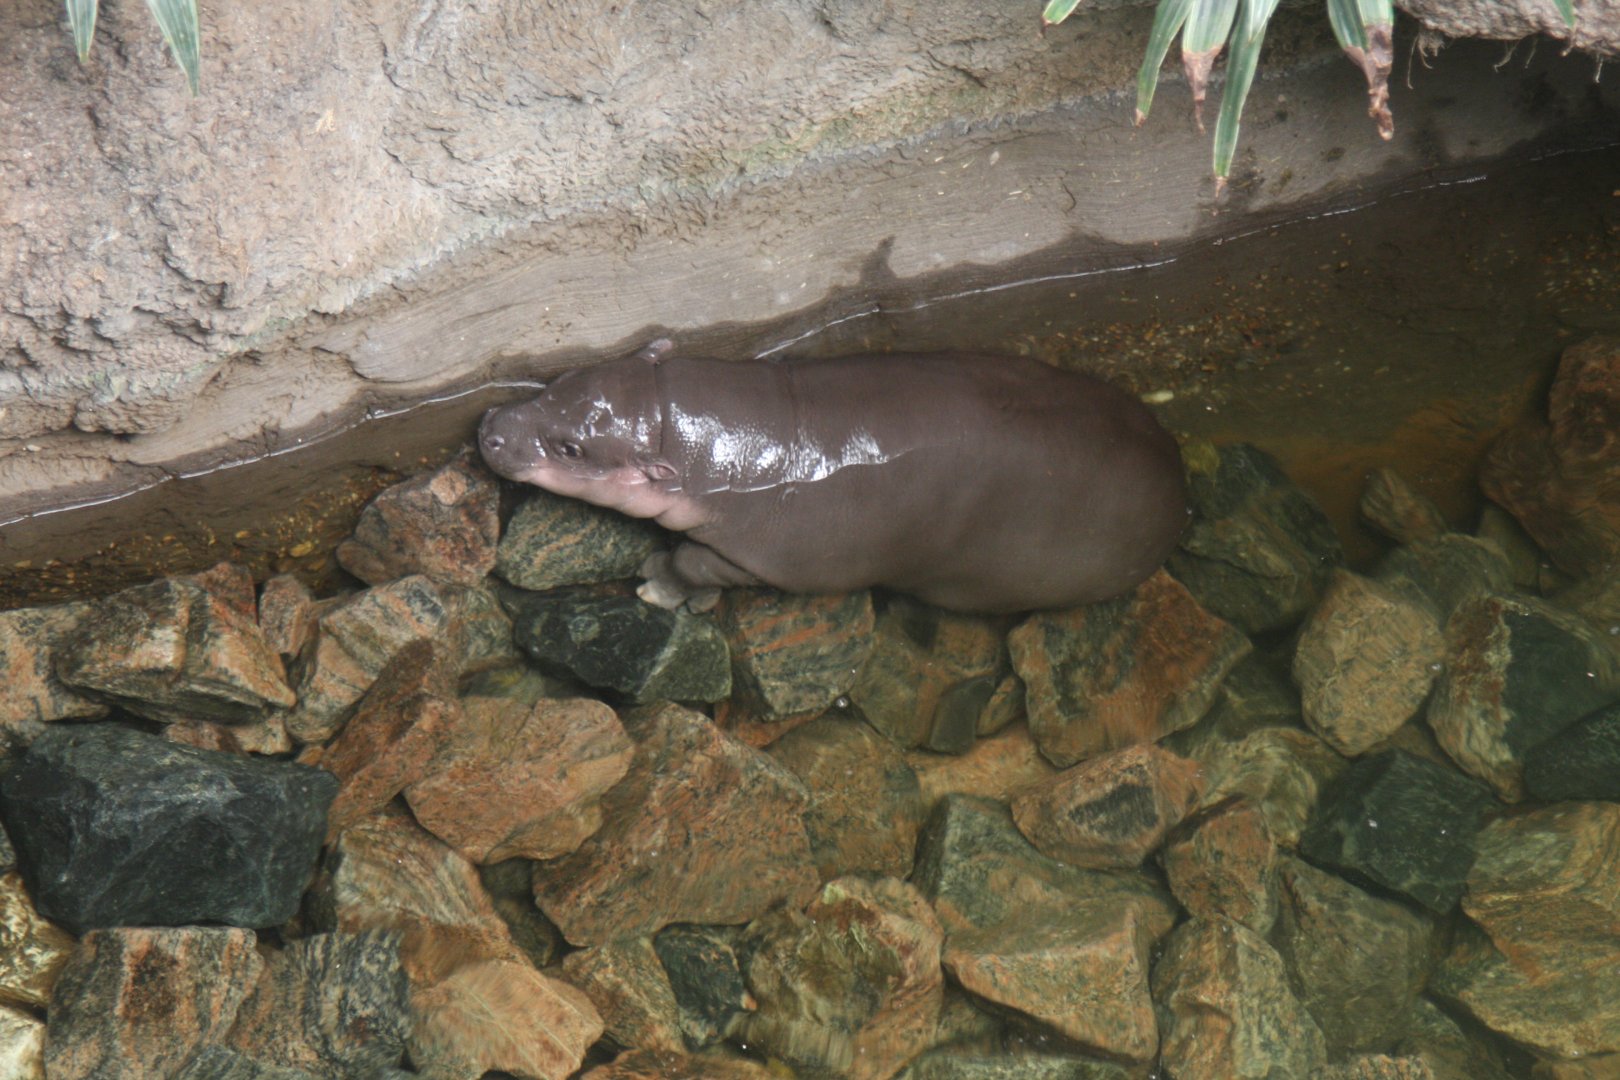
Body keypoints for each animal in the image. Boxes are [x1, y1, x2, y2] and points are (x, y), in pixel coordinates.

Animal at [478, 341, 1188, 614]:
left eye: (571, 448)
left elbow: (693, 562)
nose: (489, 428)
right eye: (566, 380)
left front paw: (656, 583)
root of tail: (1176, 478)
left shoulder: (768, 557)